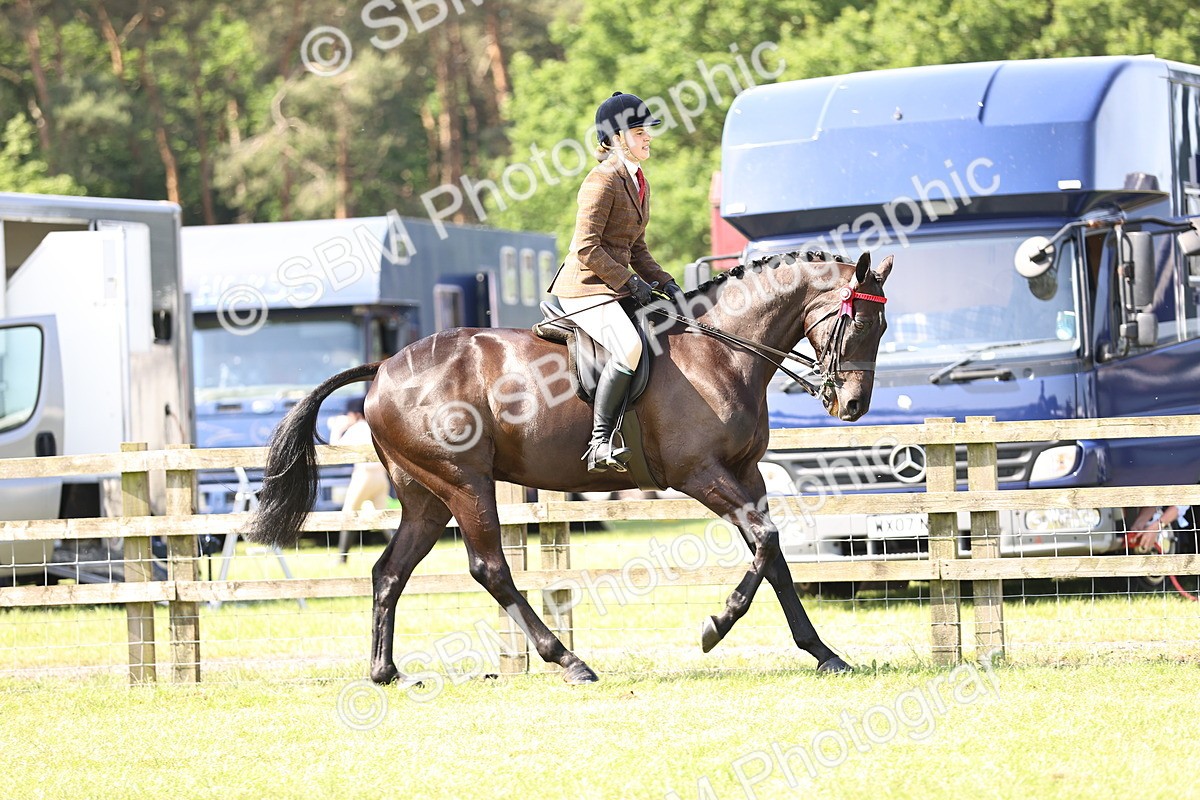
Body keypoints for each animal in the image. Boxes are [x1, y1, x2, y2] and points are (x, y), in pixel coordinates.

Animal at [247, 250, 893, 684]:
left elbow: (774, 556)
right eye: (861, 323)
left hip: (426, 498)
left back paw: (386, 672)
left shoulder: (747, 475)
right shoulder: (700, 475)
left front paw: (824, 653)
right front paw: (717, 625)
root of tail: (383, 368)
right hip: (466, 485)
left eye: (881, 326)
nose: (853, 406)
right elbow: (765, 542)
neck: (720, 351)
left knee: (389, 572)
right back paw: (570, 661)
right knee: (490, 569)